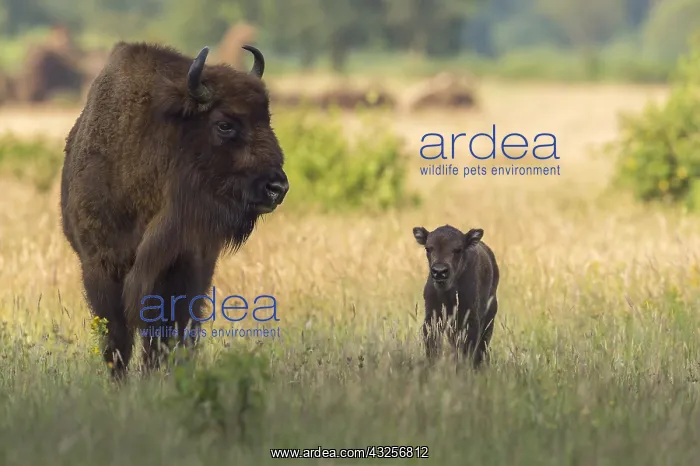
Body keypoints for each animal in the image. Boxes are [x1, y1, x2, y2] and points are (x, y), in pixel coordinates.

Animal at [60, 41, 289, 379]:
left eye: (267, 119)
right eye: (225, 124)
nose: (277, 187)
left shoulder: (180, 266)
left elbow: (167, 331)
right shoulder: (100, 266)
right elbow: (117, 338)